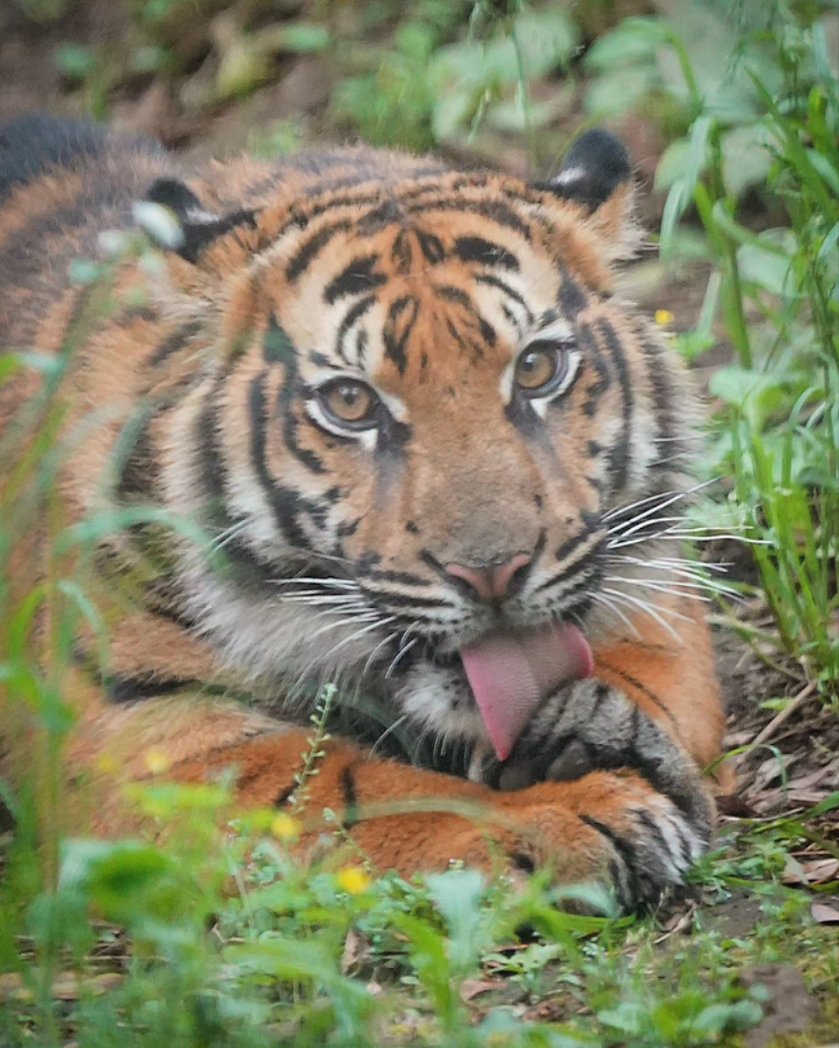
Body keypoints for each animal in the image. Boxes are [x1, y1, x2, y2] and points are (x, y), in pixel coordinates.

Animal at [0, 114, 724, 913]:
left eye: (537, 369)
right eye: (351, 403)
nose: (494, 573)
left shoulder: (654, 597)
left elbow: (654, 676)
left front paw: (590, 728)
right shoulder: (138, 737)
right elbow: (353, 793)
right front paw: (566, 818)